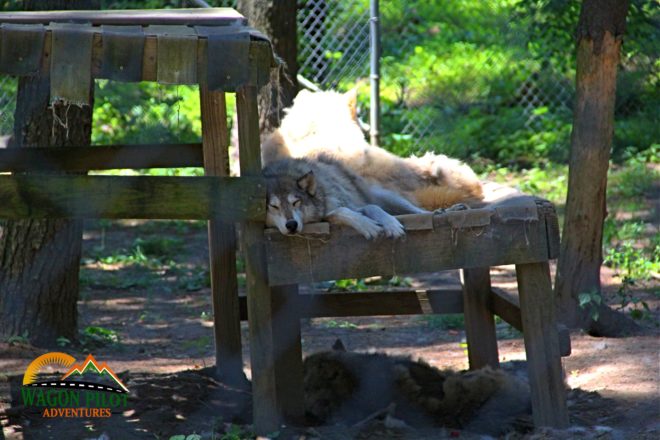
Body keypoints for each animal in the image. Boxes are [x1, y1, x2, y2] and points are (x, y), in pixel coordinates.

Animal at [260, 154, 426, 237]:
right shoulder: (328, 214)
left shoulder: (354, 204)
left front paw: (391, 225)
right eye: (274, 206)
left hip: (390, 199)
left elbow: (373, 207)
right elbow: (341, 212)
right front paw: (367, 225)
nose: (291, 225)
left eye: (296, 202)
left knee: (418, 210)